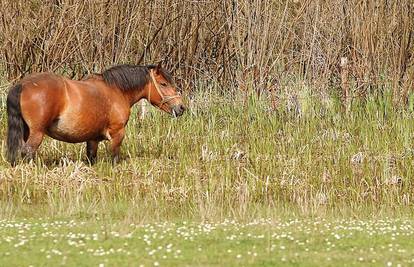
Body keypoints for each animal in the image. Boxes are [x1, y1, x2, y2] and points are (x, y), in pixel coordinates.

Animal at [6, 63, 184, 165]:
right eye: (163, 84)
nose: (181, 108)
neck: (117, 90)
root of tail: (23, 85)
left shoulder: (92, 139)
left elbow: (91, 157)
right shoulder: (117, 134)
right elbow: (114, 158)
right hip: (37, 133)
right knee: (28, 152)